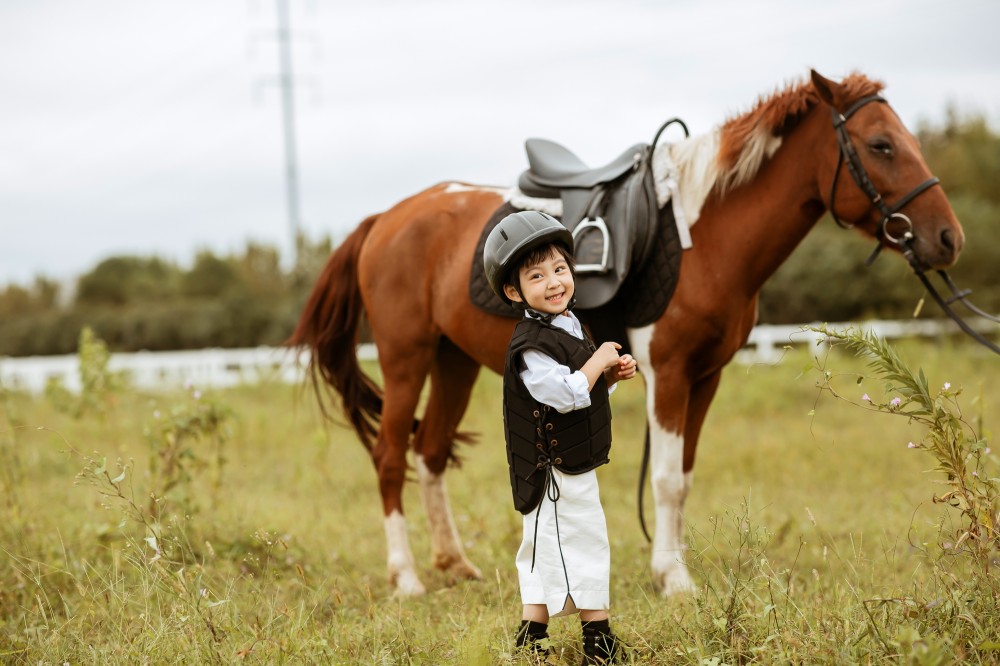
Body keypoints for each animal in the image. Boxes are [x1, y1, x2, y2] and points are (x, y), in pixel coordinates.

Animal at [288, 70, 964, 597]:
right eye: (880, 144)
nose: (948, 239)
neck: (703, 234)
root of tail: (386, 218)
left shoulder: (706, 376)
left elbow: (683, 475)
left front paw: (674, 566)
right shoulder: (669, 371)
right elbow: (664, 478)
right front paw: (673, 577)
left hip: (452, 360)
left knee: (429, 452)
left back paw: (455, 564)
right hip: (406, 358)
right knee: (389, 457)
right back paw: (406, 577)